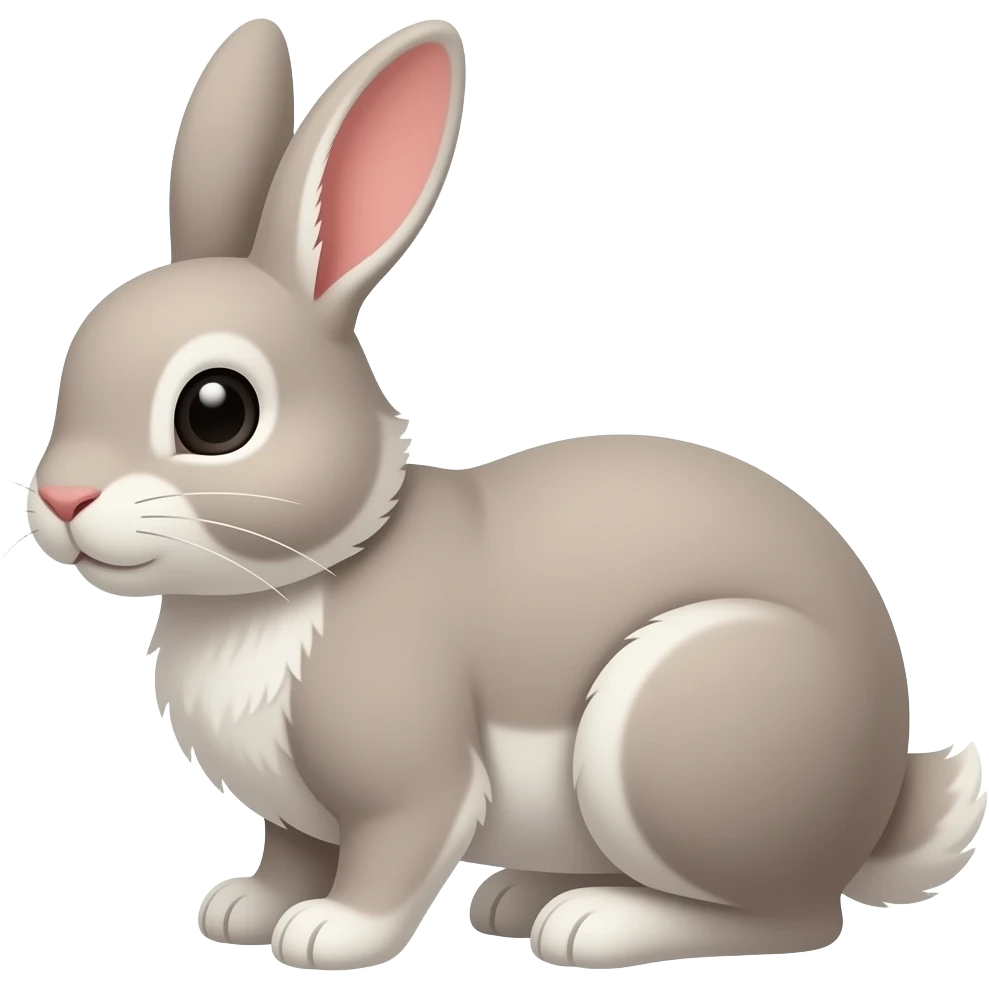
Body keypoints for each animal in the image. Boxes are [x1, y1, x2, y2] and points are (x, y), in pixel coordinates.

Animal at [22, 16, 985, 973]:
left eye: (216, 410)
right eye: (72, 366)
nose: (64, 499)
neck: (311, 568)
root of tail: (878, 801)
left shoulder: (411, 775)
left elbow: (391, 852)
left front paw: (327, 933)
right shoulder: (296, 807)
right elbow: (291, 850)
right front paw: (242, 908)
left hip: (674, 729)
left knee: (791, 918)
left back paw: (592, 922)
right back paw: (519, 897)